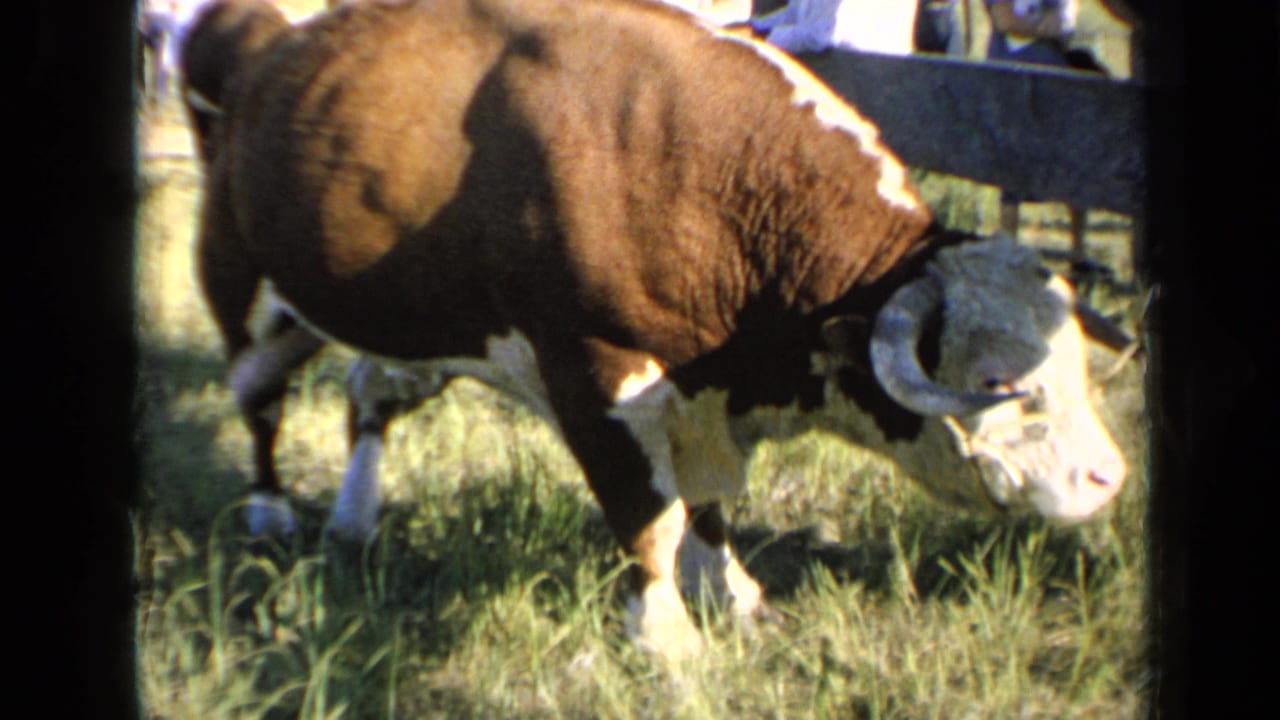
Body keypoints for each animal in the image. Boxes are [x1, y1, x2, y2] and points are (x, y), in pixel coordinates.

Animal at [180, 0, 1134, 660]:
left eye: (1075, 364)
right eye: (996, 382)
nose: (1109, 478)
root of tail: (255, 37)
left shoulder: (702, 393)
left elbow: (706, 505)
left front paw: (731, 594)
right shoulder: (597, 374)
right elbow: (650, 517)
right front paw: (666, 638)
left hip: (414, 324)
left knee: (368, 394)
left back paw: (354, 518)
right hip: (249, 298)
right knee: (260, 402)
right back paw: (270, 508)